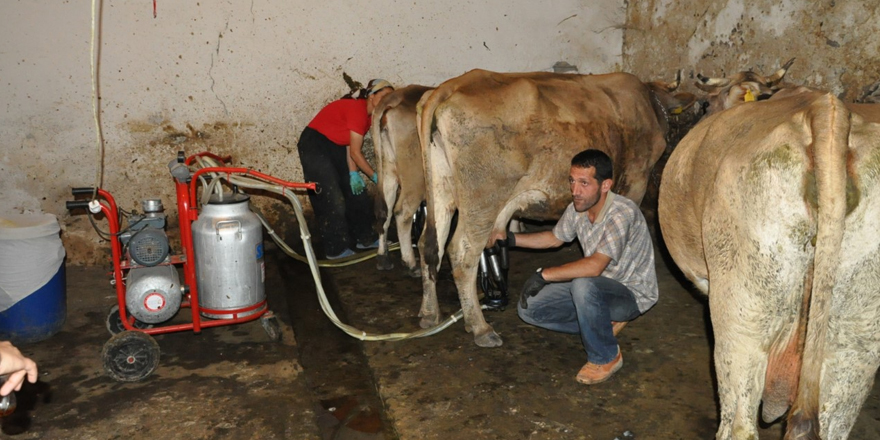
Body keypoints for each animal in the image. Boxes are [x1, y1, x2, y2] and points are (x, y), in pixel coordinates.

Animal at [372, 83, 434, 276]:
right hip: (416, 176)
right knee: (402, 212)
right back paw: (411, 263)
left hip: (388, 169)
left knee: (385, 210)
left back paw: (383, 258)